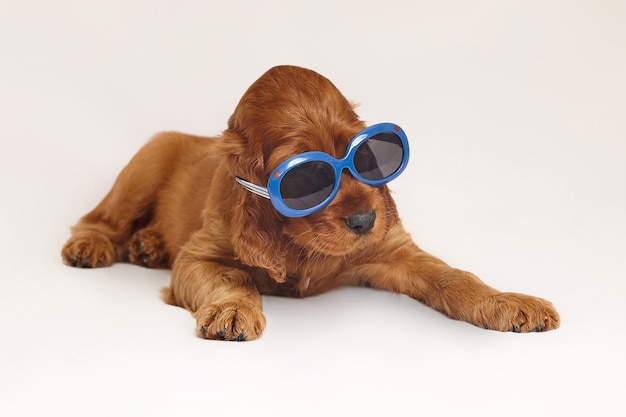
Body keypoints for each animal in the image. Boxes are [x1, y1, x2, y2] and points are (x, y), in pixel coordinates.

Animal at [61, 64, 560, 338]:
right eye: (306, 177)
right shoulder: (199, 256)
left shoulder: (392, 250)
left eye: (365, 154)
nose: (365, 220)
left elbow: (454, 276)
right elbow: (232, 277)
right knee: (98, 217)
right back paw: (92, 245)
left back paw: (147, 246)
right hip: (149, 159)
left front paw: (509, 302)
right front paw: (233, 309)